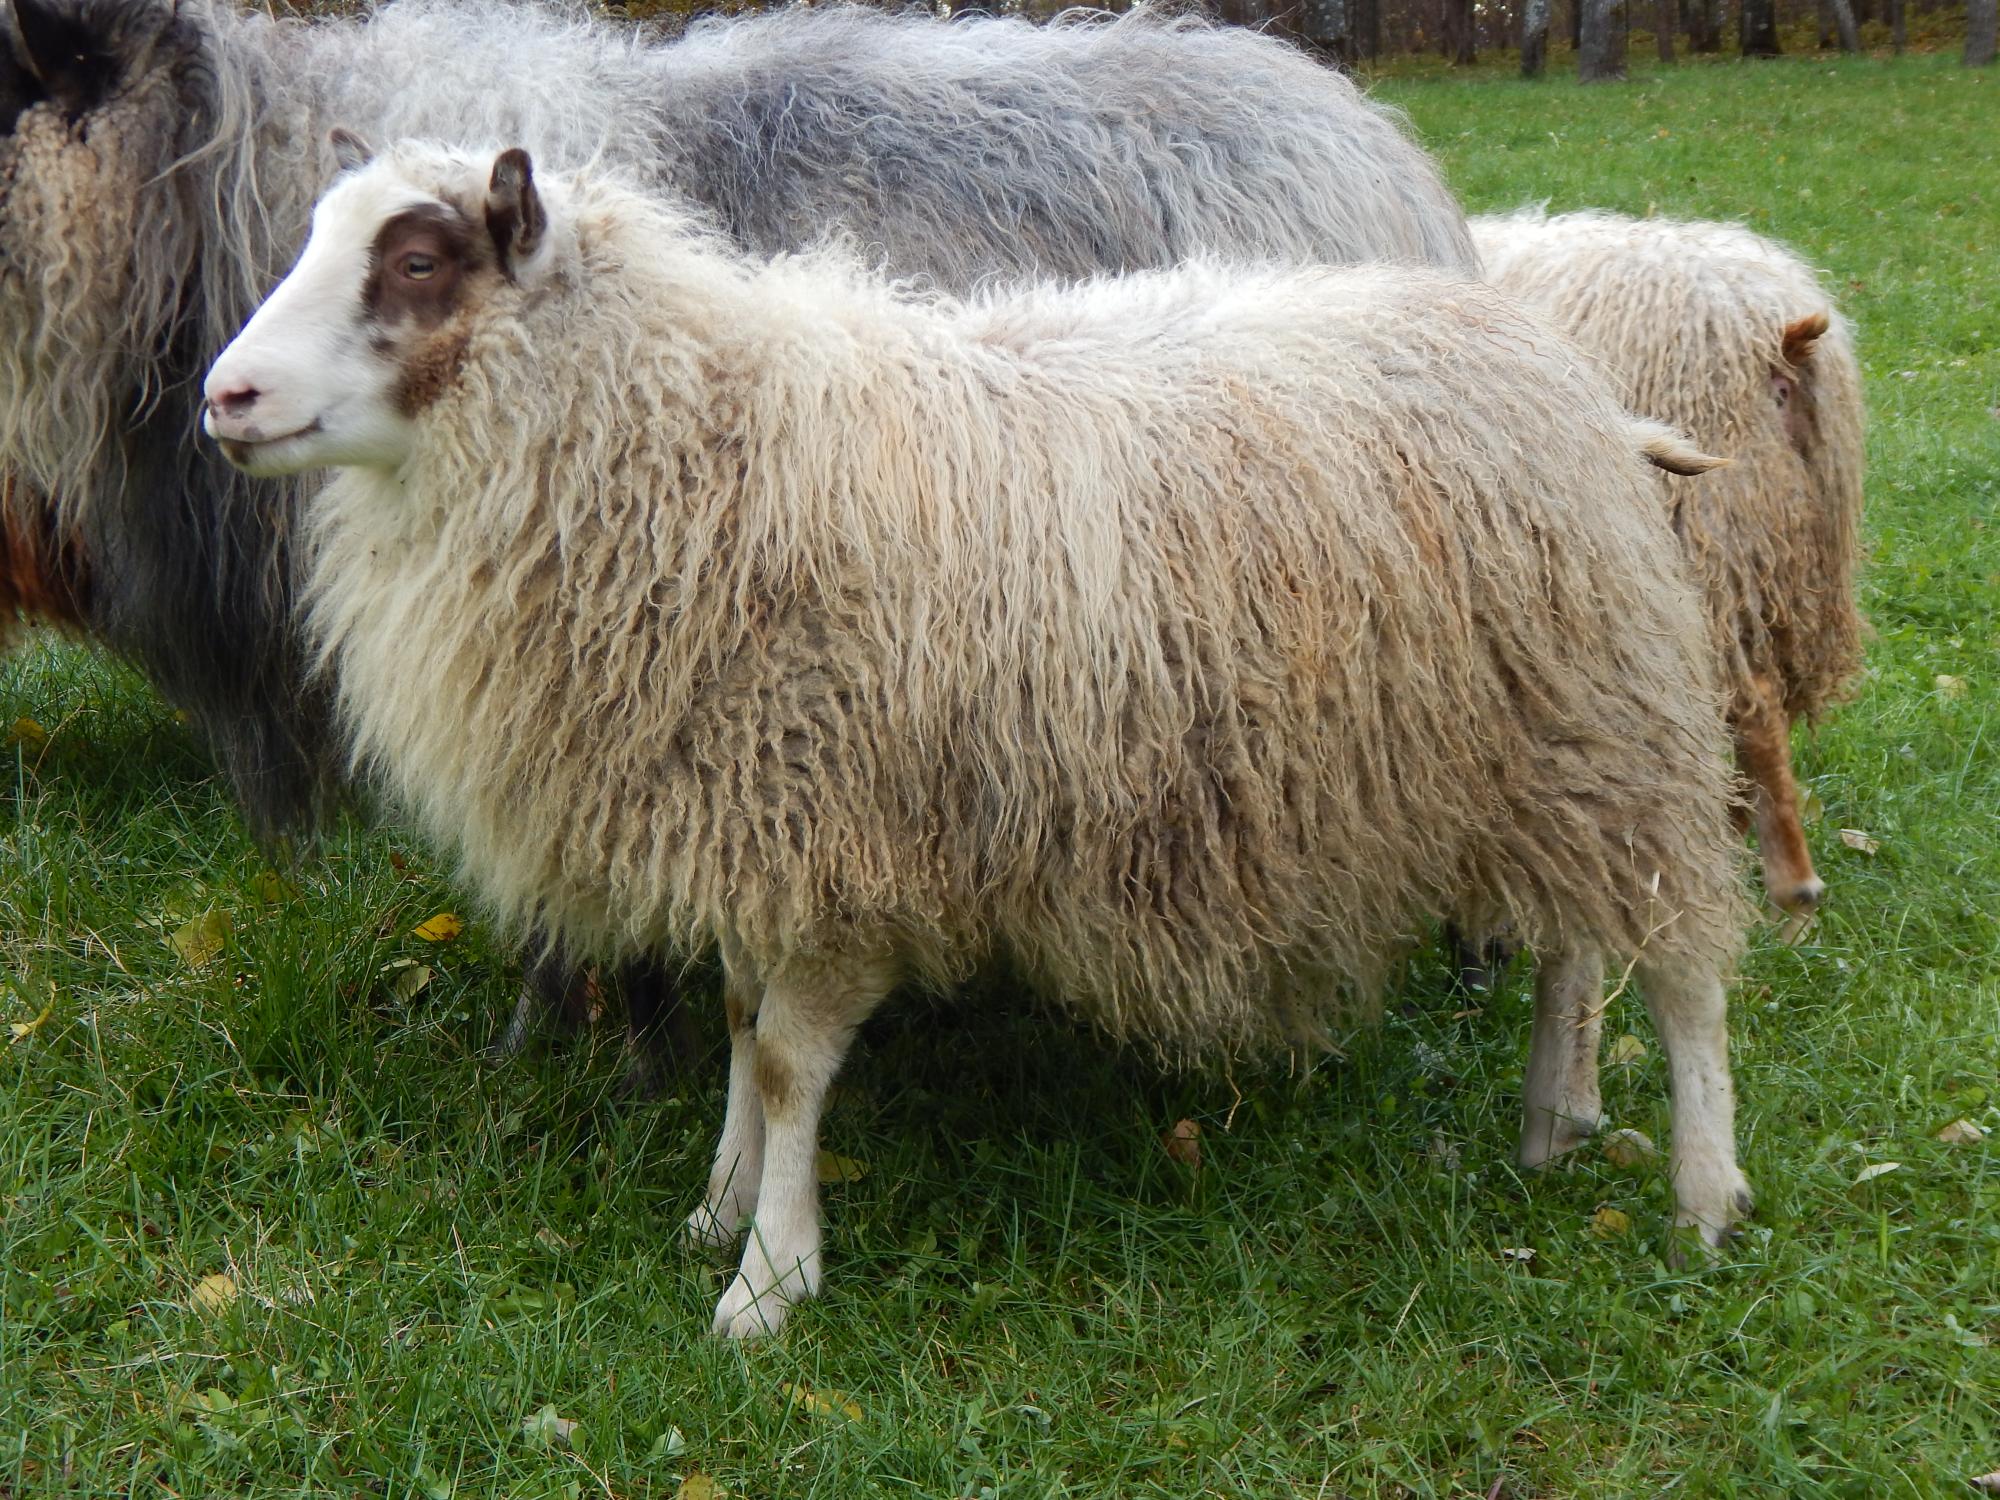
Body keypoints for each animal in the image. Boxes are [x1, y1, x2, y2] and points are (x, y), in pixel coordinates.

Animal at [203, 141, 1754, 1337]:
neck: (689, 442)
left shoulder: (835, 836)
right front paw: (716, 1209)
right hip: (1541, 740)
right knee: (1575, 945)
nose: (224, 397)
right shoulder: (755, 813)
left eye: (417, 261)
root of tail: (1574, 383)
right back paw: (1554, 1121)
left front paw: (767, 1286)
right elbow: (737, 1028)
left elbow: (788, 1060)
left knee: (1678, 966)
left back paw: (1702, 1194)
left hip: (1607, 709)